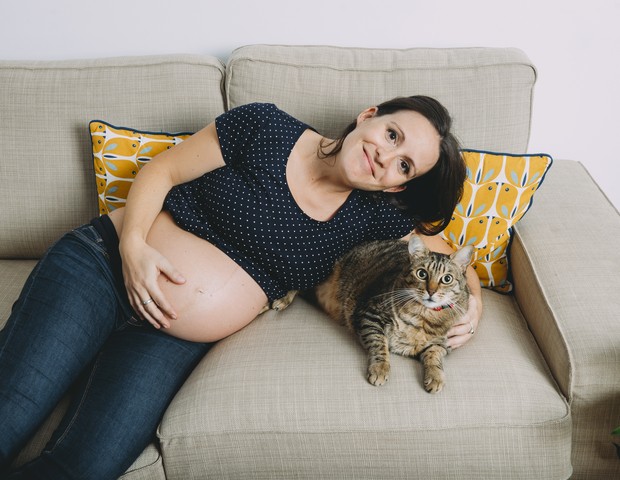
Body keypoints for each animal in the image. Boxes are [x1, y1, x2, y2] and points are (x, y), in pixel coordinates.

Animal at [272, 233, 474, 394]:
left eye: (447, 279)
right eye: (422, 274)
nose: (431, 291)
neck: (423, 316)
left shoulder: (443, 343)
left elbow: (434, 356)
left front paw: (436, 377)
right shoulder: (370, 314)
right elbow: (379, 345)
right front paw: (380, 369)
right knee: (298, 285)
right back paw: (280, 301)